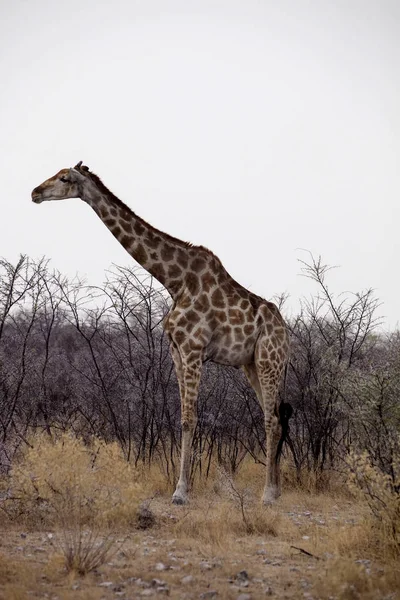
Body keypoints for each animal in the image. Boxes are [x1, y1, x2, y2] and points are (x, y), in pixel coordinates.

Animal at [29, 162, 290, 504]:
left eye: (64, 178)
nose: (35, 193)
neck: (175, 280)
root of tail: (286, 332)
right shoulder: (176, 352)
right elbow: (182, 418)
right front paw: (181, 487)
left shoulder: (193, 349)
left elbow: (190, 419)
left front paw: (181, 492)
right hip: (251, 365)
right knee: (274, 416)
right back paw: (276, 489)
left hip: (269, 361)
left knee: (272, 418)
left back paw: (269, 493)